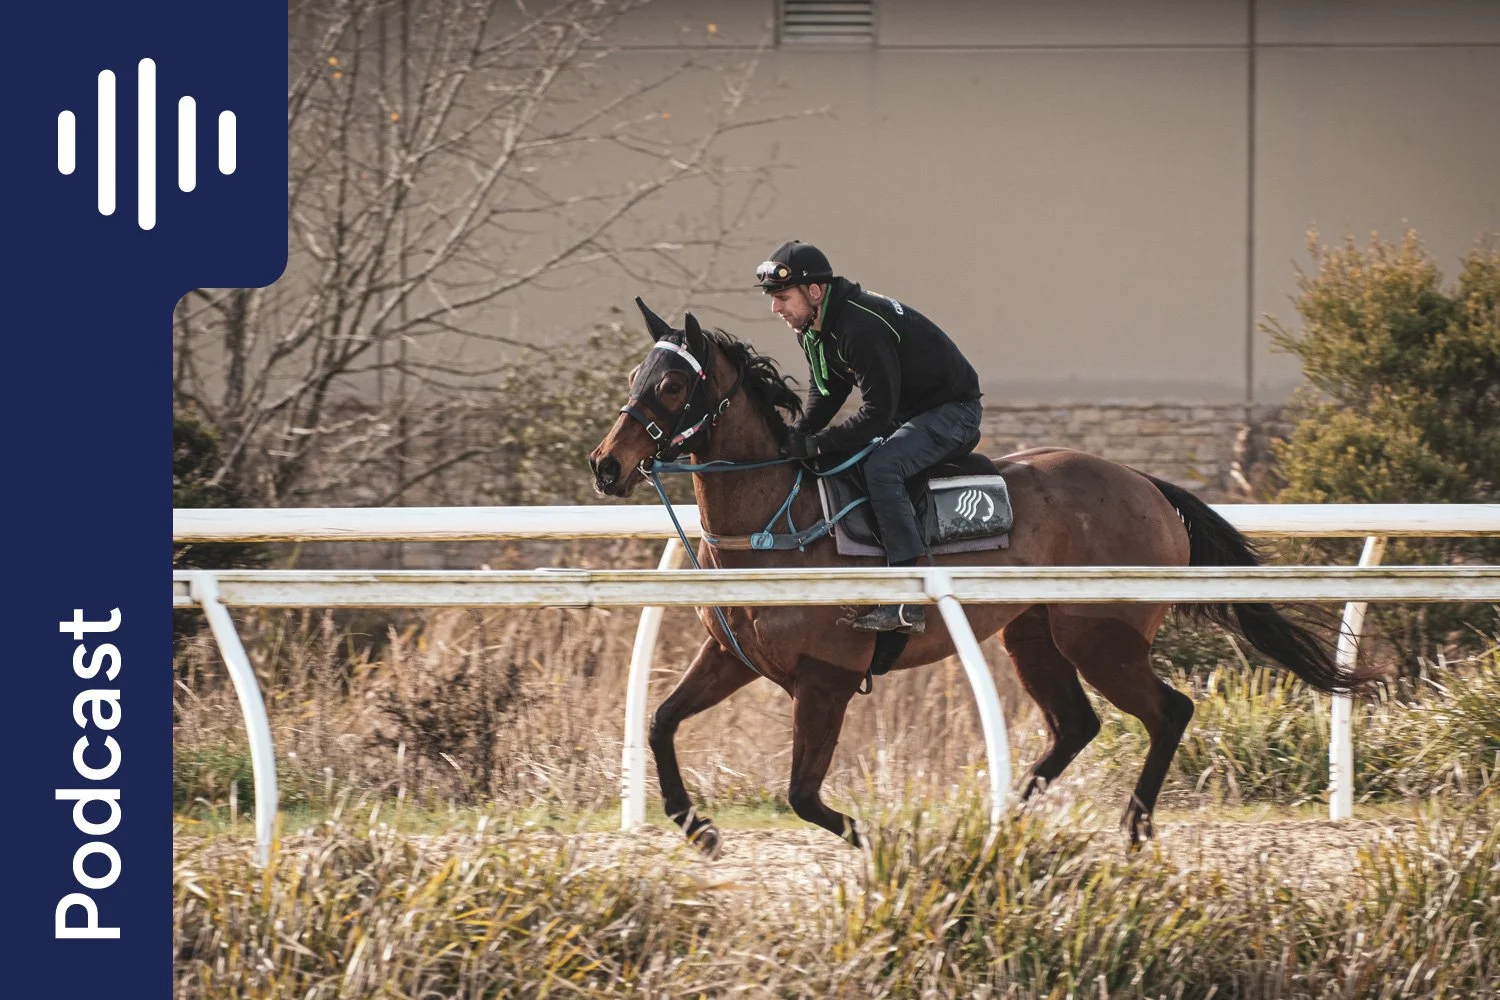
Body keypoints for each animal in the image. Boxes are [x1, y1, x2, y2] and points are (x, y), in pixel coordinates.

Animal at [588, 300, 1368, 856]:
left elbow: (803, 795)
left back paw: (1135, 828)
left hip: (1101, 636)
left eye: (673, 383)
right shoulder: (731, 657)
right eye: (632, 378)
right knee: (1077, 724)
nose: (605, 465)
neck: (776, 523)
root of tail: (1145, 484)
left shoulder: (826, 678)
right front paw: (697, 827)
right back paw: (1008, 827)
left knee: (1168, 711)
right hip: (1035, 635)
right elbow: (659, 721)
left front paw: (884, 840)